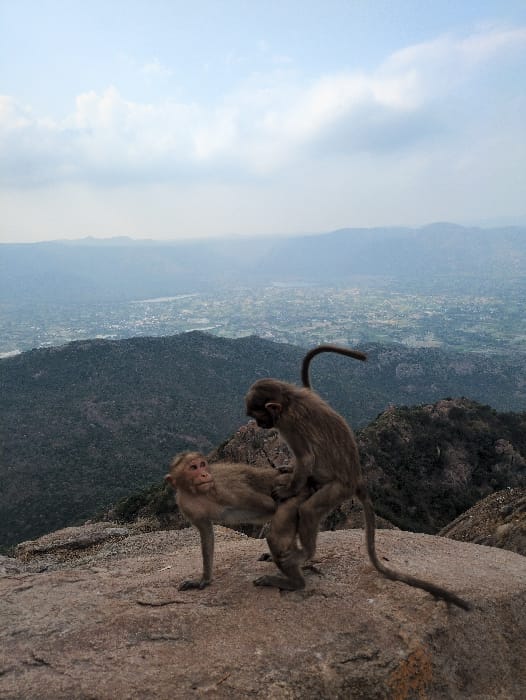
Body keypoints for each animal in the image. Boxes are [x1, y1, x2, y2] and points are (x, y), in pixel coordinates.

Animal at [165, 451, 311, 591]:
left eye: (202, 464)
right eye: (193, 467)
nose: (204, 474)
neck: (198, 493)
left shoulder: (222, 489)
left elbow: (270, 504)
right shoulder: (185, 505)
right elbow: (206, 533)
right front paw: (203, 580)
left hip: (298, 495)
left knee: (276, 535)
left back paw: (295, 582)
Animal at [245, 344, 470, 610]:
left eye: (258, 416)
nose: (259, 426)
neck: (289, 399)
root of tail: (357, 477)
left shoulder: (289, 423)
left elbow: (307, 459)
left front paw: (288, 488)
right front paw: (288, 471)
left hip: (339, 488)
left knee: (309, 510)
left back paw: (303, 557)